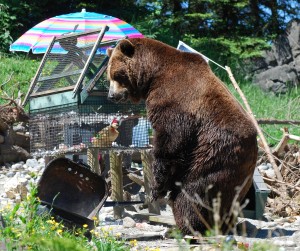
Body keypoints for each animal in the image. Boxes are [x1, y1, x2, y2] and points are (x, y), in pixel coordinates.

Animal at [107, 37, 258, 235]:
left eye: (117, 75)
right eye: (108, 76)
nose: (111, 95)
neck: (153, 74)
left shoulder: (174, 99)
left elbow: (170, 140)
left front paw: (156, 188)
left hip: (214, 155)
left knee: (191, 194)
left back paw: (188, 228)